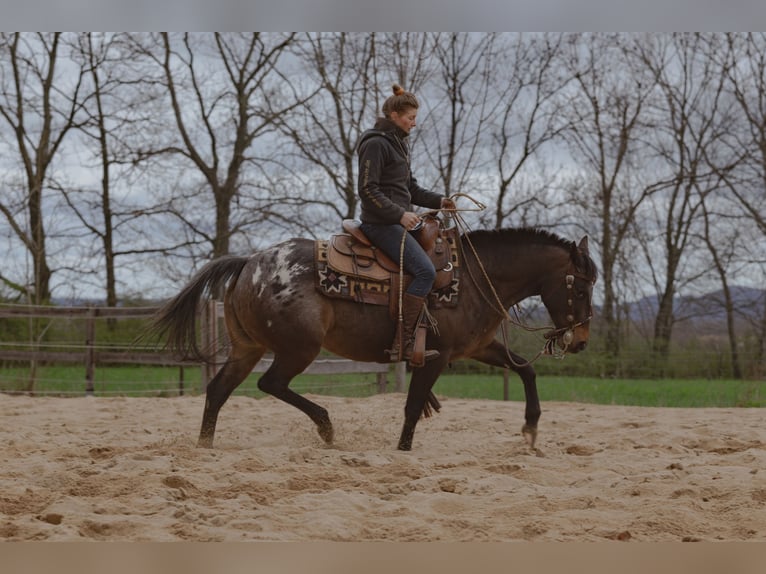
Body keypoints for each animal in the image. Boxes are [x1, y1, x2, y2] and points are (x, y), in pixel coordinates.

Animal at [147, 225, 596, 454]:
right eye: (580, 287)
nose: (581, 341)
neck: (473, 278)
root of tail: (249, 262)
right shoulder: (436, 355)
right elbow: (413, 404)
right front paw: (403, 450)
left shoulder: (479, 347)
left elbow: (526, 370)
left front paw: (532, 428)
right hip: (298, 349)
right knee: (270, 383)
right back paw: (326, 426)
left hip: (247, 348)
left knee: (219, 389)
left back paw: (204, 445)